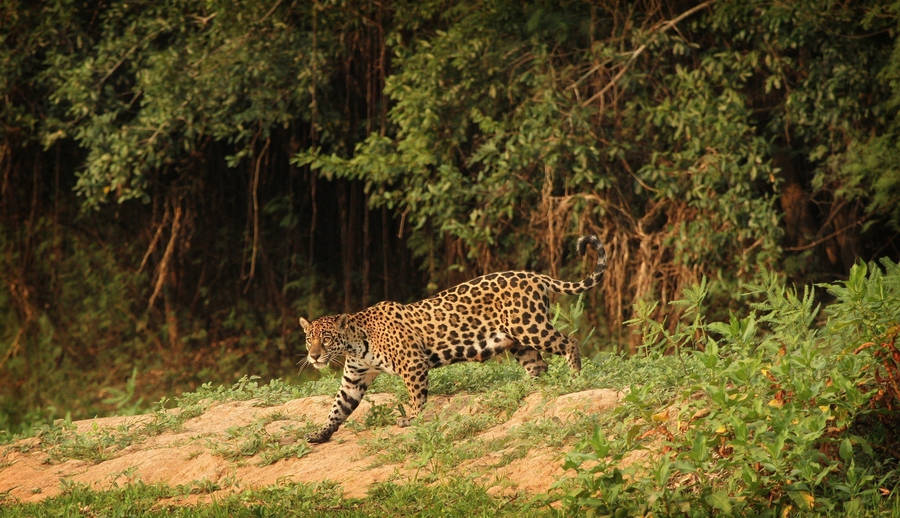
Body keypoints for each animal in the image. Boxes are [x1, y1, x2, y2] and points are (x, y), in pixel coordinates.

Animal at [298, 234, 607, 443]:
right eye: (309, 339)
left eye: (326, 338)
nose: (314, 356)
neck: (356, 343)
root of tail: (535, 276)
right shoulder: (354, 378)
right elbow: (338, 407)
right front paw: (319, 434)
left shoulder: (413, 364)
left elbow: (416, 395)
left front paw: (411, 418)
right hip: (519, 341)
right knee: (539, 366)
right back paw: (525, 389)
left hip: (530, 326)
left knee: (570, 342)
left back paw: (574, 378)